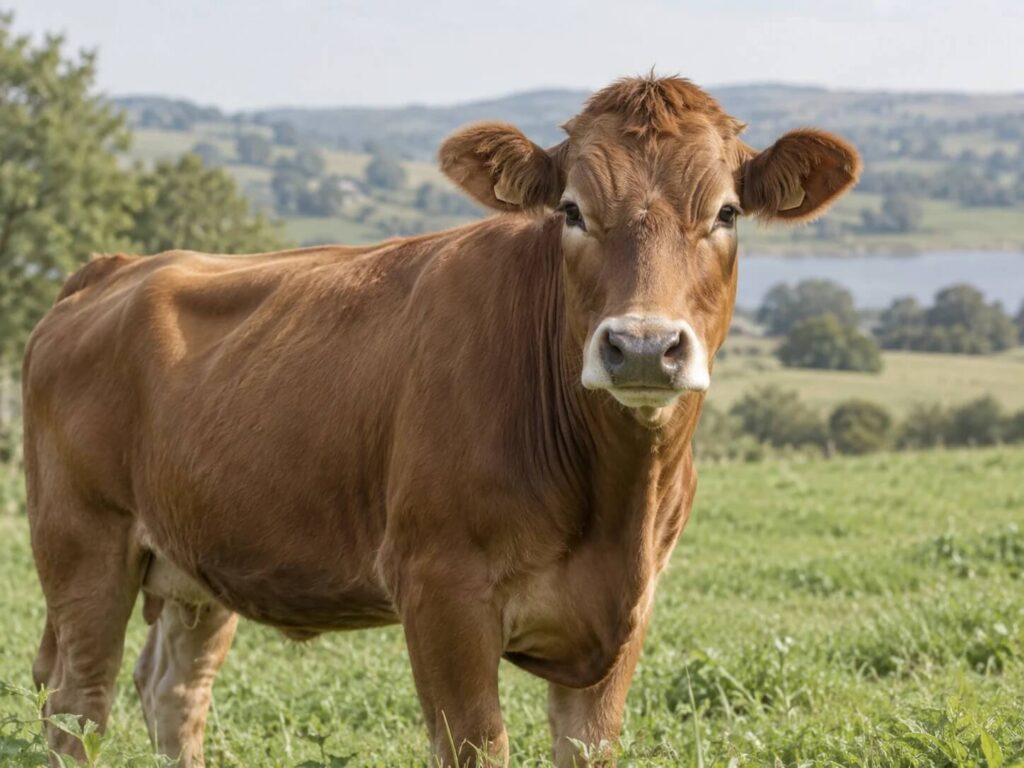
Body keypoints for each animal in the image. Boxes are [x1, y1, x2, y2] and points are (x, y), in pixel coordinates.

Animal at [22, 75, 859, 767]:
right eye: (571, 210)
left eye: (726, 212)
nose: (644, 346)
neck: (615, 503)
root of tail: (117, 267)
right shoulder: (440, 589)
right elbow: (476, 746)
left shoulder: (630, 610)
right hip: (83, 542)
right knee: (77, 706)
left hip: (196, 562)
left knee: (172, 691)